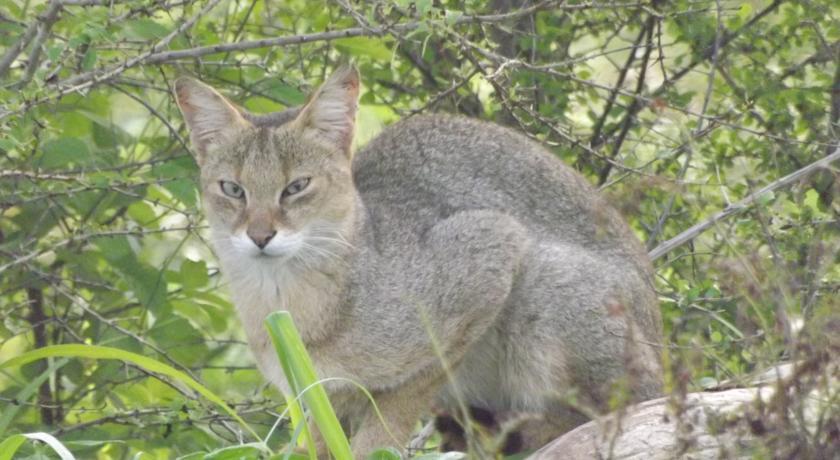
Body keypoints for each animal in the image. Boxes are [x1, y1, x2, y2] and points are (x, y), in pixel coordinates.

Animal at [176, 64, 664, 456]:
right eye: (232, 189)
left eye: (296, 187)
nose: (260, 236)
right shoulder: (322, 394)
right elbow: (315, 442)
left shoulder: (490, 249)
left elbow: (393, 412)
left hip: (544, 289)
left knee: (611, 410)